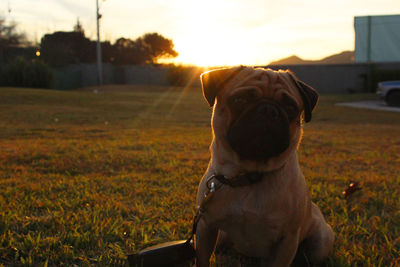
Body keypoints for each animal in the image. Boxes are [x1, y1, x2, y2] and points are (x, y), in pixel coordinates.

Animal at [195, 66, 332, 266]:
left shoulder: (287, 240)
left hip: (320, 244)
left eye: (291, 107)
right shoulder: (206, 227)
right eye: (240, 99)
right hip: (220, 237)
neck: (248, 175)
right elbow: (202, 259)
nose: (268, 109)